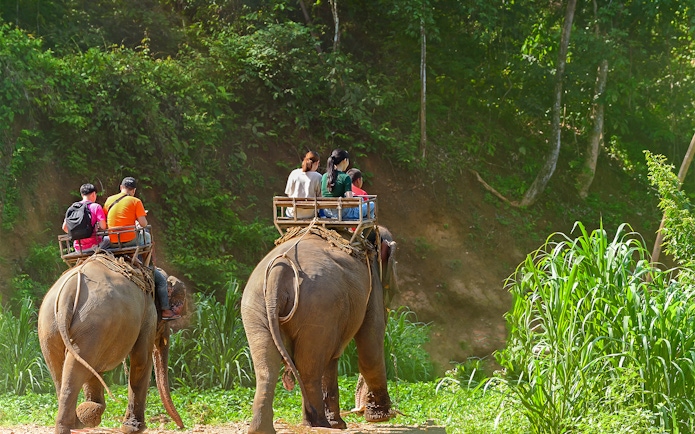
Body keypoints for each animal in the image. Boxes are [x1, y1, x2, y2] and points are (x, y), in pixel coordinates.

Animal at [37, 253, 186, 434]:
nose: (181, 426)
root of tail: (68, 292)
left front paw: (91, 411)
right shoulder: (148, 314)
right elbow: (141, 360)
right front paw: (133, 428)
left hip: (50, 326)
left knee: (62, 368)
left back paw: (78, 421)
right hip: (92, 322)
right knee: (77, 367)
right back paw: (73, 424)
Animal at [241, 225, 398, 434]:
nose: (360, 409)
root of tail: (279, 270)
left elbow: (333, 357)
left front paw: (340, 424)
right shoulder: (372, 284)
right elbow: (370, 344)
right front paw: (381, 418)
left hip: (256, 306)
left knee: (267, 366)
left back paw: (265, 428)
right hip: (319, 307)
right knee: (309, 368)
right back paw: (318, 423)